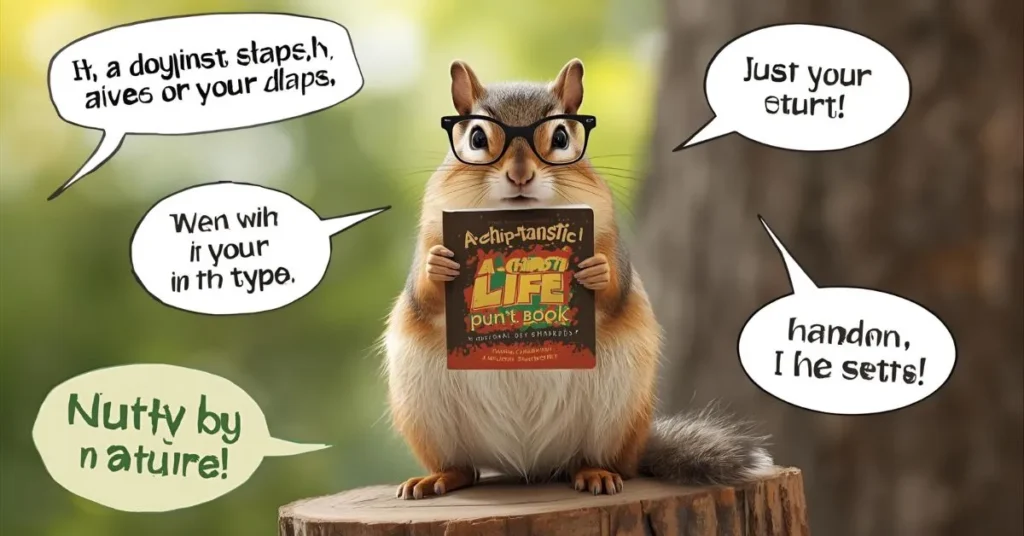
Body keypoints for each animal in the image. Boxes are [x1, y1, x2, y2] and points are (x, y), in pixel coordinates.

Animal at [382, 58, 773, 500]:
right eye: (477, 137)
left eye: (562, 136)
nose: (520, 175)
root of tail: (528, 466)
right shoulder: (433, 226)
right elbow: (421, 293)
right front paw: (439, 265)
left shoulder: (610, 235)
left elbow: (617, 287)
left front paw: (596, 271)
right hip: (424, 414)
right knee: (464, 468)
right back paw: (438, 478)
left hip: (616, 411)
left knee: (601, 461)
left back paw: (595, 473)